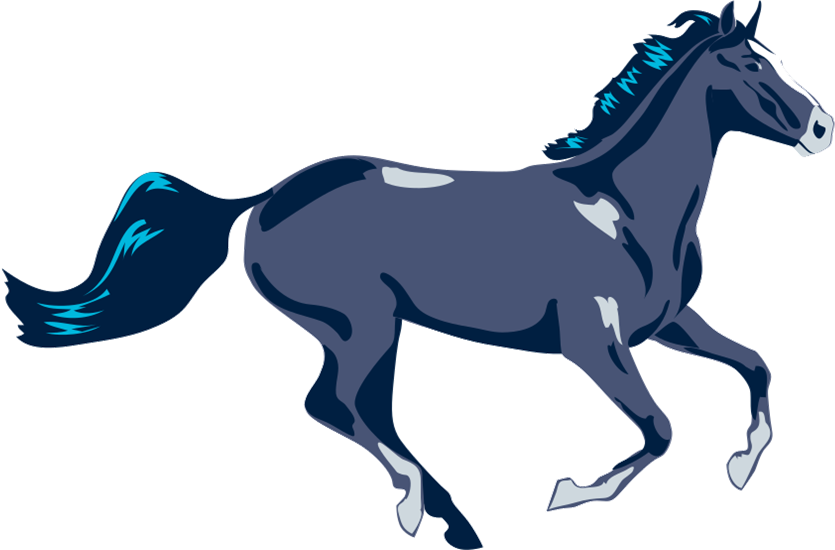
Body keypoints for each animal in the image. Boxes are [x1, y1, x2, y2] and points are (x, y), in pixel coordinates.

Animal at [3, 2, 831, 548]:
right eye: (750, 64)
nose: (821, 128)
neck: (622, 208)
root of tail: (264, 201)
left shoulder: (666, 325)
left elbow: (755, 366)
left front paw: (741, 467)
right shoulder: (592, 343)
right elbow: (659, 429)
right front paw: (569, 495)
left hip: (375, 328)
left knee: (356, 408)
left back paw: (451, 520)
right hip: (360, 323)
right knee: (337, 404)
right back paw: (419, 510)